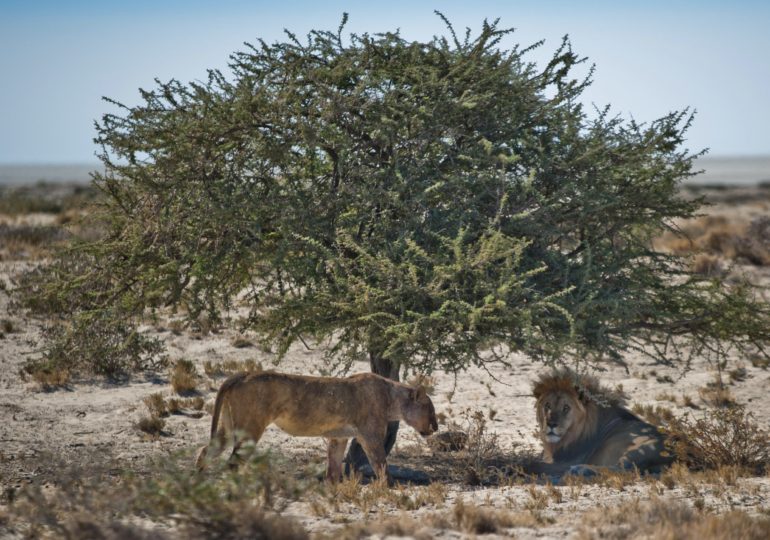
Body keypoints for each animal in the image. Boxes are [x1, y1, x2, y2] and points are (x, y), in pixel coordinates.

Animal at [195, 372, 438, 480]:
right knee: (232, 462)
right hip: (250, 429)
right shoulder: (371, 437)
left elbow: (334, 468)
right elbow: (381, 466)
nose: (436, 428)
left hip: (228, 427)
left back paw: (198, 481)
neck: (391, 397)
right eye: (430, 409)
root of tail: (239, 375)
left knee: (207, 450)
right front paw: (388, 490)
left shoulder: (338, 437)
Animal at [520, 370, 672, 478]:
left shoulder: (568, 460)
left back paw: (581, 469)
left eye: (566, 408)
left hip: (640, 446)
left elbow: (533, 463)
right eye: (547, 405)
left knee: (624, 469)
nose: (551, 424)